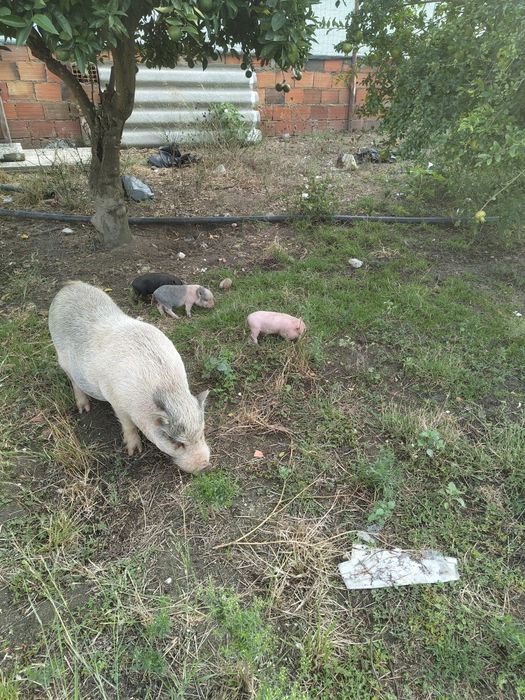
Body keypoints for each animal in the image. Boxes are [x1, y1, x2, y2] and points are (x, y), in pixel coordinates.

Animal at [48, 281, 210, 473]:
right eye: (176, 442)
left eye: (201, 432)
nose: (205, 464)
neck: (167, 387)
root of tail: (69, 286)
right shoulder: (116, 402)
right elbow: (128, 425)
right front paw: (134, 451)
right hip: (61, 357)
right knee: (74, 382)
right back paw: (84, 409)